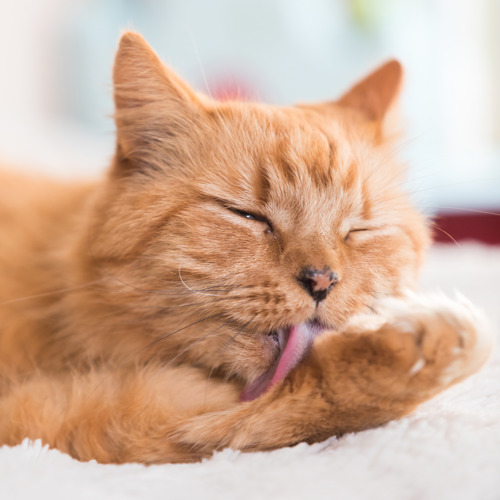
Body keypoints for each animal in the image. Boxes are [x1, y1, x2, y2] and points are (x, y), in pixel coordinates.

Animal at [0, 32, 492, 464]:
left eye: (359, 230)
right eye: (248, 216)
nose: (322, 280)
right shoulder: (65, 419)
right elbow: (298, 407)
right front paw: (425, 349)